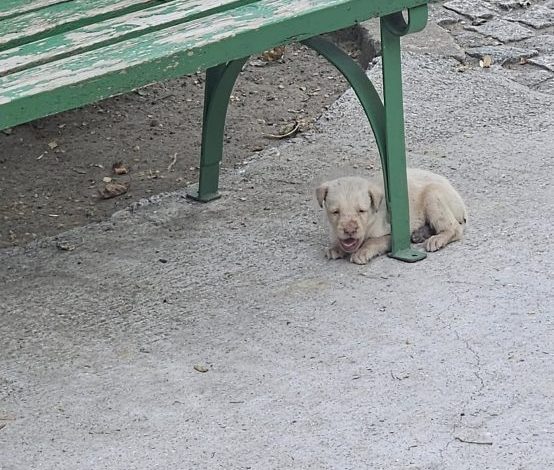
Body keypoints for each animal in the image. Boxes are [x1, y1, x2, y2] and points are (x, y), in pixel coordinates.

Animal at [316, 169, 467, 264]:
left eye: (361, 211)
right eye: (335, 212)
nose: (349, 231)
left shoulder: (394, 234)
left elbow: (373, 241)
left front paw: (361, 252)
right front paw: (336, 247)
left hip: (433, 195)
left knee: (454, 228)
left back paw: (436, 239)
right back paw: (419, 234)